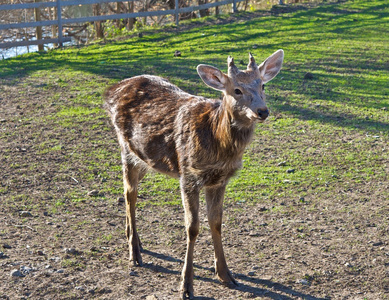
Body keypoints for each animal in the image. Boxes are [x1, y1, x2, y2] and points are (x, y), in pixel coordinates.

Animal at [104, 49, 284, 298]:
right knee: (130, 194)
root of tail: (111, 90)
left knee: (129, 191)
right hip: (126, 148)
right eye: (236, 90)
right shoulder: (188, 175)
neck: (218, 144)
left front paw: (226, 275)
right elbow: (192, 227)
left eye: (263, 85)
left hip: (146, 160)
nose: (262, 111)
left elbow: (216, 222)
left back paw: (134, 240)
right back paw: (135, 253)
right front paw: (186, 285)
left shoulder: (219, 181)